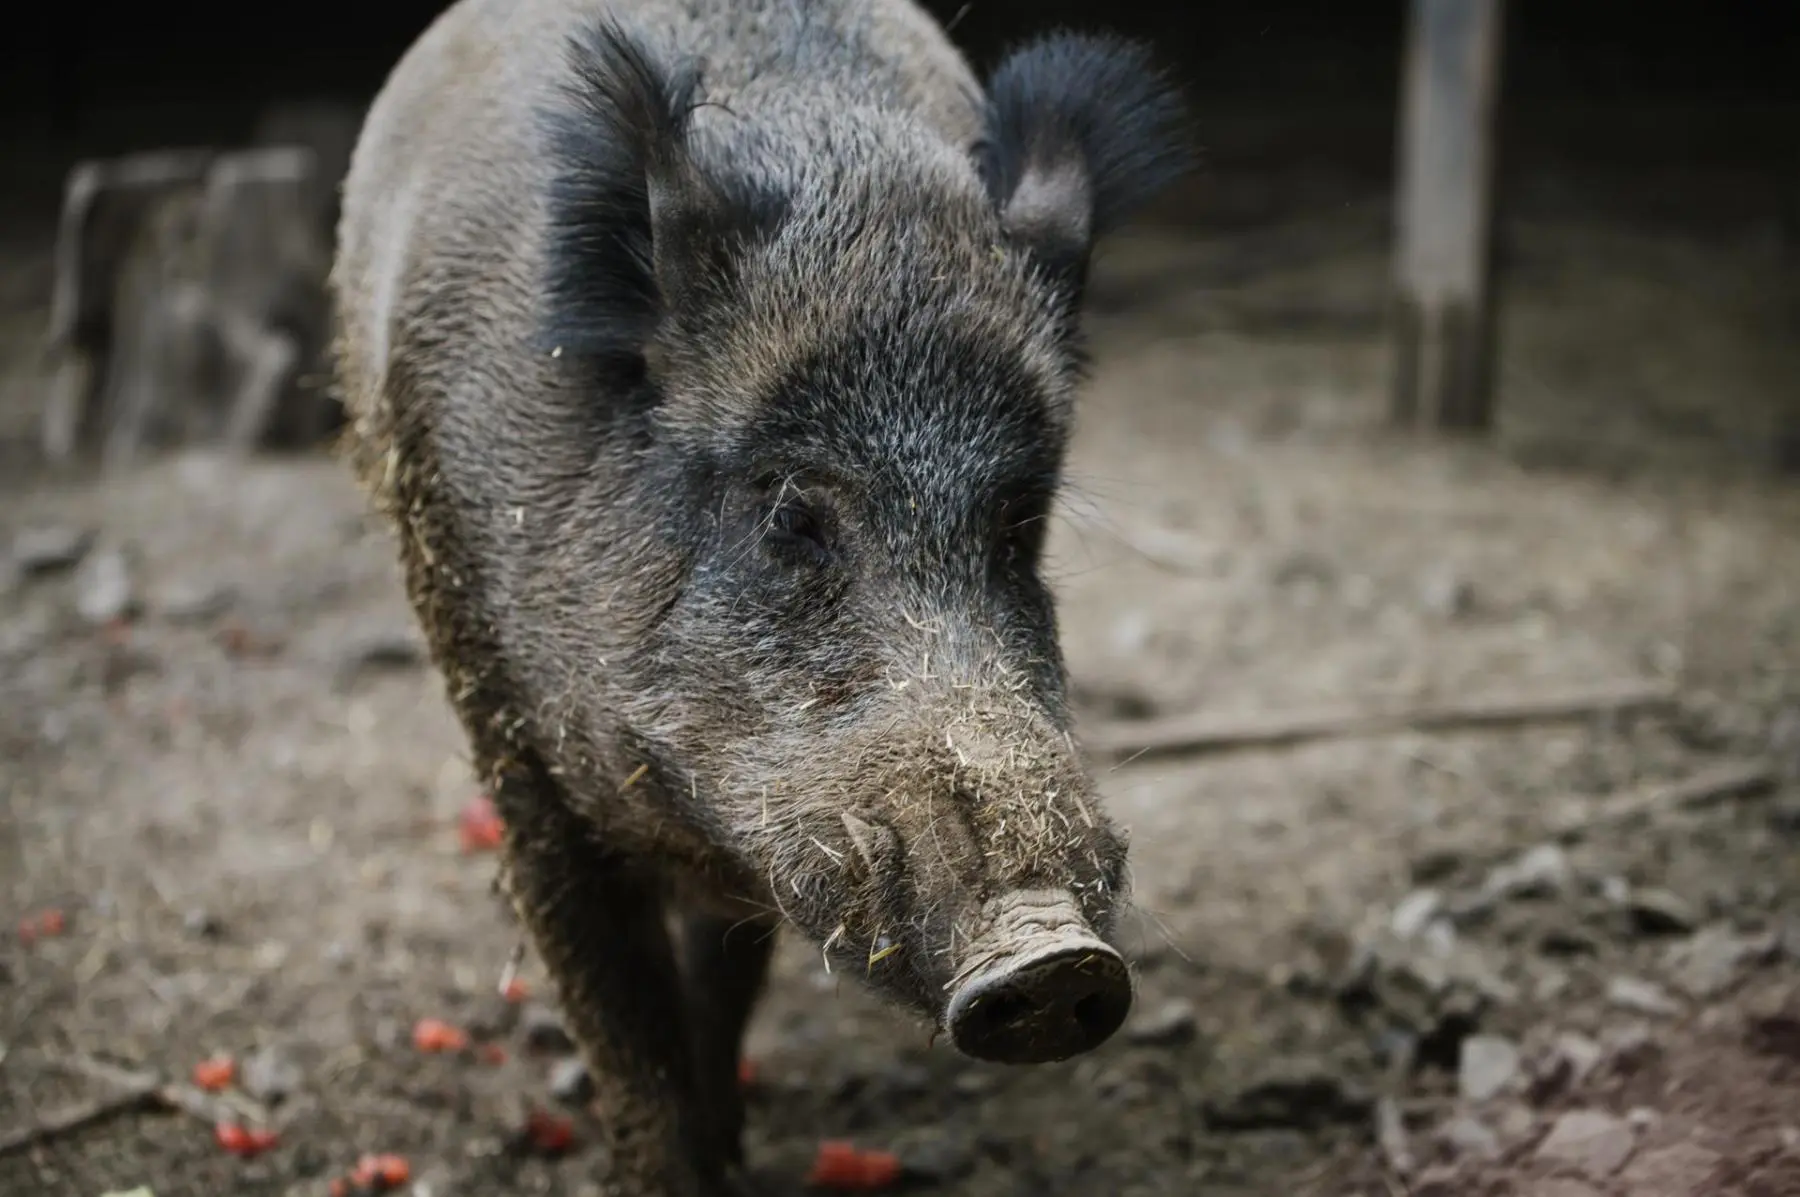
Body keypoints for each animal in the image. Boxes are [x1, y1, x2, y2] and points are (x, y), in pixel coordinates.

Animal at [330, 0, 1190, 1192]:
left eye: (1017, 524)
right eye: (791, 514)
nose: (1056, 960)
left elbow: (724, 979)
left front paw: (730, 1146)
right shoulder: (514, 754)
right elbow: (623, 1026)